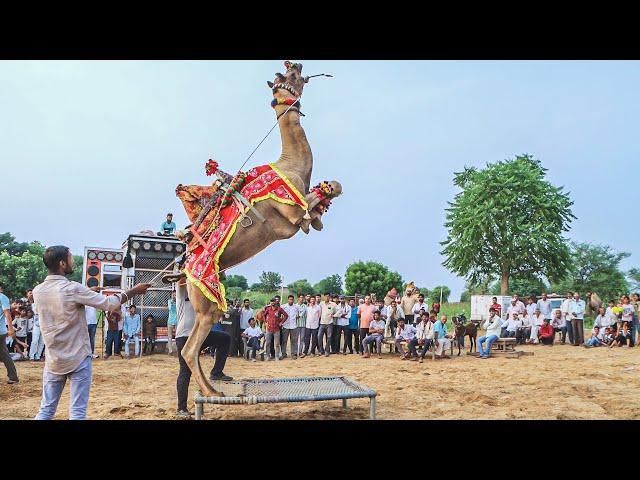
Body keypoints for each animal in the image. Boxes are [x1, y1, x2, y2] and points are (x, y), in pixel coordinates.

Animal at [175, 61, 342, 398]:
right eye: (290, 77)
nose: (297, 63)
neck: (290, 165)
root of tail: (186, 269)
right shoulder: (289, 214)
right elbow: (310, 209)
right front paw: (321, 206)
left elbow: (321, 206)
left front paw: (322, 210)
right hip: (208, 301)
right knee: (190, 348)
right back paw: (211, 393)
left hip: (202, 304)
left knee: (191, 349)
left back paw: (212, 389)